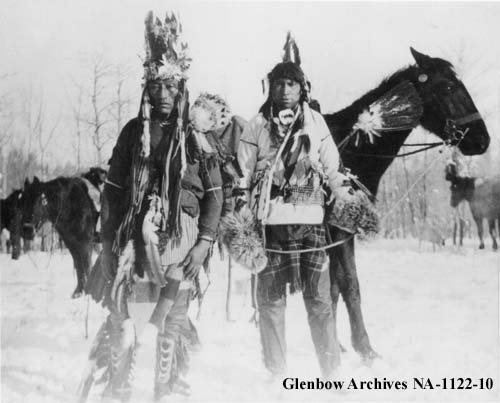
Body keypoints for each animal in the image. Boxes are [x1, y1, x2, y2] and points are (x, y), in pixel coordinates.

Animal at [19, 168, 107, 300]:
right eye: (22, 200)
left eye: (41, 201)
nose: (27, 230)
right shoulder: (71, 243)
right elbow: (79, 266)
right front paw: (78, 293)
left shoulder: (86, 243)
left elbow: (86, 266)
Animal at [320, 45, 488, 364]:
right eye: (448, 87)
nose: (482, 140)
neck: (350, 148)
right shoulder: (339, 229)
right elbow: (350, 284)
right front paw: (365, 350)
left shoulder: (336, 232)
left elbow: (333, 287)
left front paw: (334, 344)